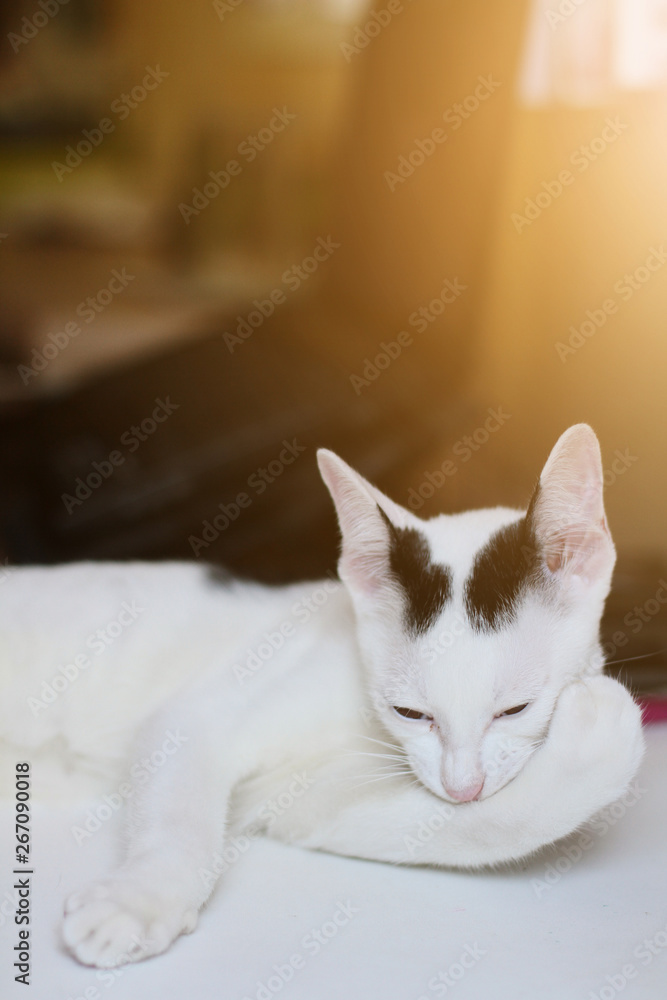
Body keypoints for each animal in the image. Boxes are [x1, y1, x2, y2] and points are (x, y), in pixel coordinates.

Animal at [1, 424, 648, 968]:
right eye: (410, 712)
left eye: (515, 709)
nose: (463, 787)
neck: (362, 716)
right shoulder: (201, 716)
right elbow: (181, 818)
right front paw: (139, 899)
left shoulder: (307, 802)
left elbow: (482, 829)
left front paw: (601, 731)